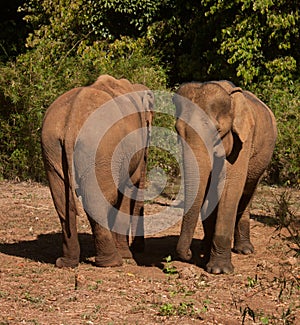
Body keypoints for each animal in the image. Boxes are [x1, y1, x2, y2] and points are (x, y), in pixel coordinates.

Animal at [41, 74, 154, 268]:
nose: (139, 248)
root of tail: (70, 121)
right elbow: (127, 189)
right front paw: (128, 257)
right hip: (101, 150)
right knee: (96, 200)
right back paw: (113, 262)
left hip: (52, 147)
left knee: (63, 202)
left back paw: (66, 262)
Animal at [173, 79, 276, 272]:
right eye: (178, 130)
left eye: (217, 131)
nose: (189, 254)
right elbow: (209, 191)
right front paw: (205, 256)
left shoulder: (243, 141)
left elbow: (230, 189)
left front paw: (219, 270)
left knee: (247, 193)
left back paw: (245, 250)